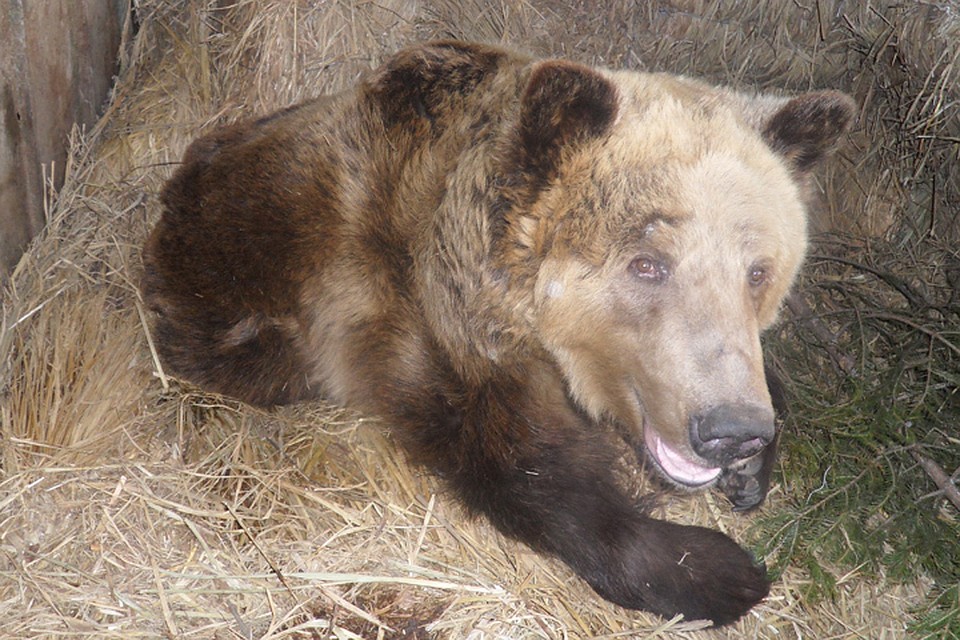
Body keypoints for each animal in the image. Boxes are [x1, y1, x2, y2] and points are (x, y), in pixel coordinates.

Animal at [142, 41, 856, 624]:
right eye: (648, 263)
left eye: (758, 270)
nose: (732, 429)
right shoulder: (408, 314)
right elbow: (523, 467)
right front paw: (717, 570)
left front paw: (754, 469)